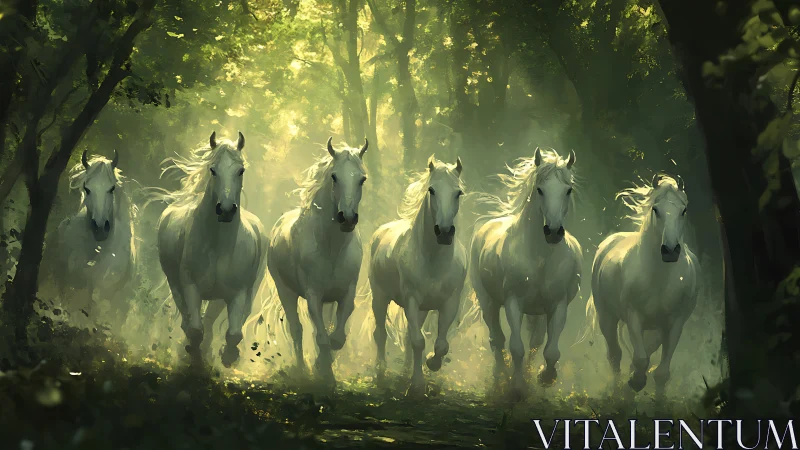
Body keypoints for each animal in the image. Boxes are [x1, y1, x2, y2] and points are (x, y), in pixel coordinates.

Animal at [154, 131, 267, 367]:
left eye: (241, 170)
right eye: (213, 170)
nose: (225, 210)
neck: (219, 247)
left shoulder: (237, 293)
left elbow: (233, 334)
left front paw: (228, 356)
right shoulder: (190, 286)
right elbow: (196, 330)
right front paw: (195, 356)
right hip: (175, 284)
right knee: (188, 320)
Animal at [267, 137, 369, 388]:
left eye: (361, 178)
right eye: (334, 176)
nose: (347, 218)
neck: (331, 248)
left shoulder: (345, 293)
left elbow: (337, 336)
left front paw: (325, 365)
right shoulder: (313, 294)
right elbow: (320, 337)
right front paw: (324, 372)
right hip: (285, 291)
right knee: (296, 329)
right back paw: (302, 369)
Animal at [369, 155, 467, 396]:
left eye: (458, 192)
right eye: (431, 190)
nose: (444, 232)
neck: (434, 261)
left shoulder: (449, 302)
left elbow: (440, 344)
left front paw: (431, 362)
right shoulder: (411, 300)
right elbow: (417, 341)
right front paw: (417, 384)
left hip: (422, 309)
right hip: (380, 297)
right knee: (380, 334)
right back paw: (381, 370)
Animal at [470, 147, 582, 397]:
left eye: (568, 190)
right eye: (540, 189)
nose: (553, 232)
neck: (540, 257)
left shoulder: (558, 306)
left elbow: (550, 350)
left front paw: (545, 377)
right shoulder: (514, 303)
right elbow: (516, 347)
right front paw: (517, 386)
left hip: (537, 312)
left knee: (534, 342)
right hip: (488, 301)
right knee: (497, 339)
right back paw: (501, 376)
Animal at [587, 173, 698, 396]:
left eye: (683, 210)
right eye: (656, 209)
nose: (670, 250)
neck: (660, 279)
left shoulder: (675, 323)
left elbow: (661, 373)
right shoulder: (634, 317)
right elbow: (639, 360)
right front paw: (635, 382)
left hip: (655, 332)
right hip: (607, 316)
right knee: (615, 355)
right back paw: (618, 390)